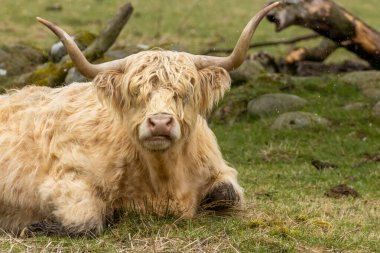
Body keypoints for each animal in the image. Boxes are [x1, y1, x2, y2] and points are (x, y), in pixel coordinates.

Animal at [0, 1, 280, 236]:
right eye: (135, 93)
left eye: (186, 92)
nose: (160, 123)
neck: (165, 179)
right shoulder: (65, 180)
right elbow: (87, 220)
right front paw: (33, 226)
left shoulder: (220, 173)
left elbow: (227, 195)